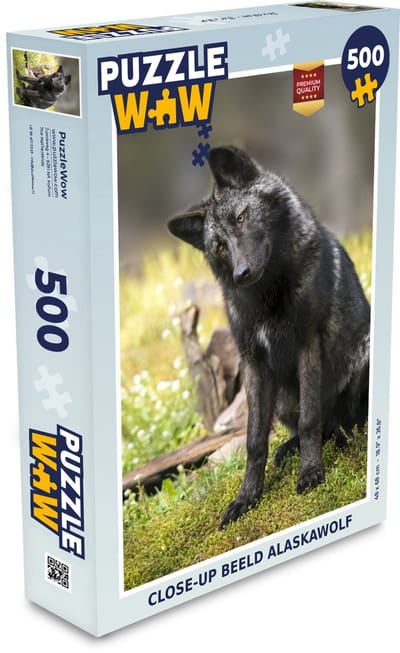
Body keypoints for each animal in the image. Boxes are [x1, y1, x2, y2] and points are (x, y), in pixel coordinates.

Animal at [168, 145, 370, 529]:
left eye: (242, 217)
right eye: (219, 246)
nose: (241, 273)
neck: (268, 298)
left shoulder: (307, 344)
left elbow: (309, 420)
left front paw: (311, 472)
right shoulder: (254, 362)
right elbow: (253, 441)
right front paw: (246, 497)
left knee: (341, 423)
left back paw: (337, 441)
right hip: (280, 400)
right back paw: (289, 449)